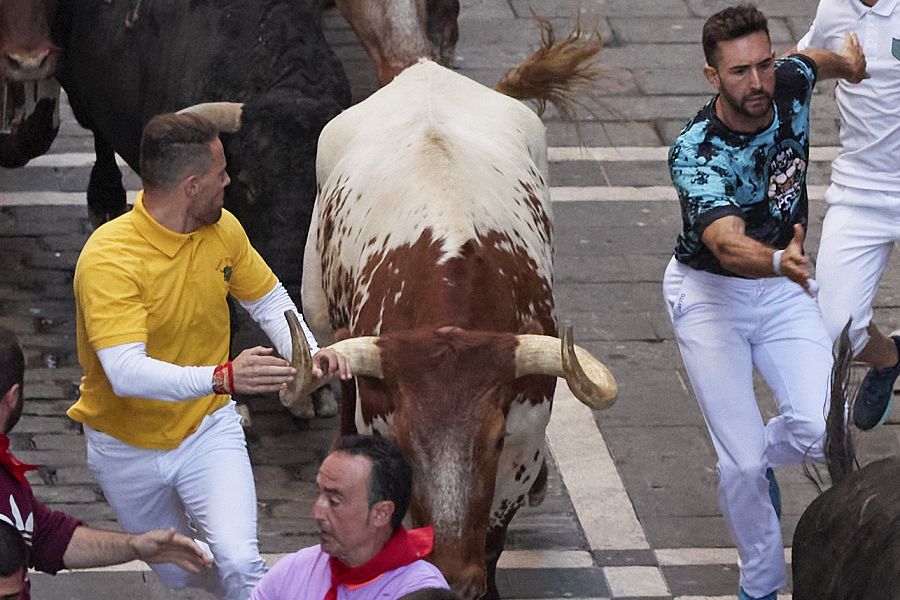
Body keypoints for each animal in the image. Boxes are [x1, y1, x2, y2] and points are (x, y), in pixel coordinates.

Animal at [282, 21, 620, 596]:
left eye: (494, 439)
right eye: (404, 439)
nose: (453, 577)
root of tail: (423, 70)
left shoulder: (524, 443)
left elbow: (493, 541)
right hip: (321, 310)